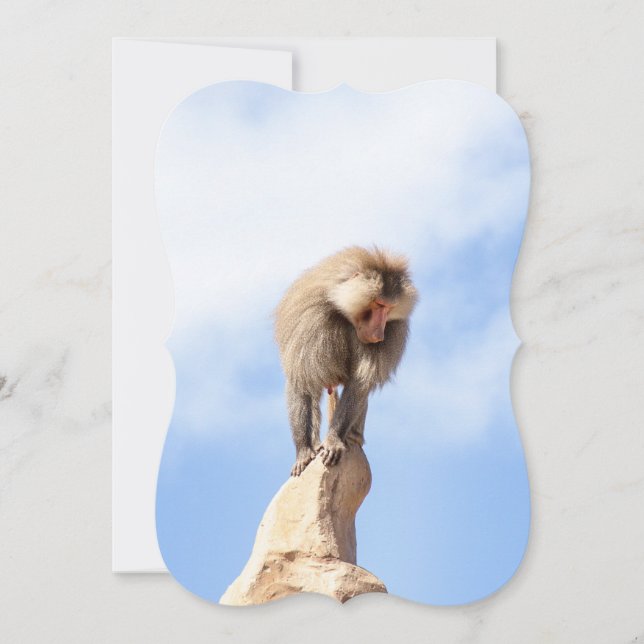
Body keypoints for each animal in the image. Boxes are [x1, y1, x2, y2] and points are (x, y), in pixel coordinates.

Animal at [274, 246, 418, 476]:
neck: (342, 310)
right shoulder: (310, 320)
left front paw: (334, 440)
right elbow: (301, 380)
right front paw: (303, 452)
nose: (379, 335)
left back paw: (352, 438)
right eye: (379, 304)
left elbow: (360, 384)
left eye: (389, 308)